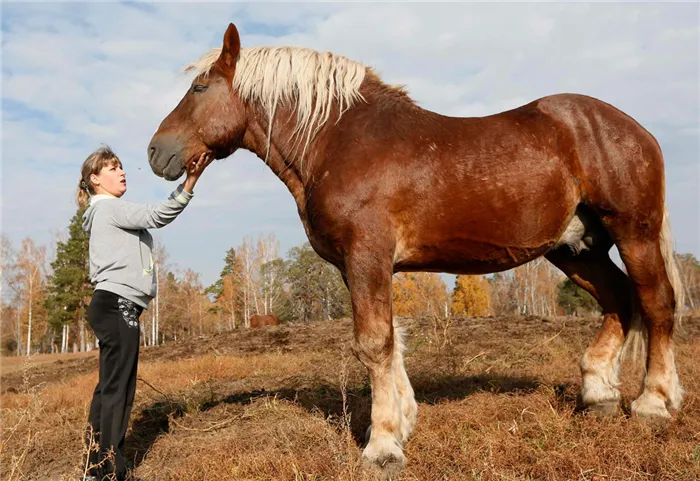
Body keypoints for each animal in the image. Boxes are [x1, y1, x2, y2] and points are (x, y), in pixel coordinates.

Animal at [148, 24, 684, 470]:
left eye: (199, 88)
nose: (156, 152)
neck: (337, 141)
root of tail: (637, 130)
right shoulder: (360, 264)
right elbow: (391, 341)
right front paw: (403, 424)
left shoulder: (367, 254)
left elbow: (374, 343)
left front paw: (382, 446)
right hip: (576, 248)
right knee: (618, 300)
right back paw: (598, 395)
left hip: (632, 232)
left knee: (656, 303)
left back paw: (653, 403)